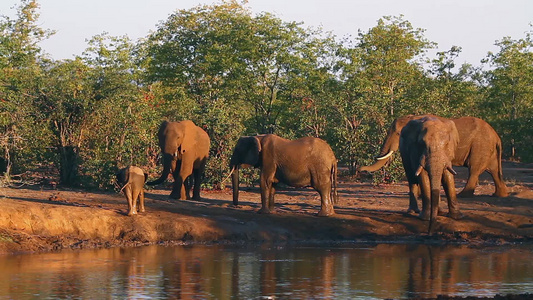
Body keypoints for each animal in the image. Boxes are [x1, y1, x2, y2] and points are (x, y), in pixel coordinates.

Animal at [360, 116, 504, 203]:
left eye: (398, 134)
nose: (360, 169)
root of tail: (496, 136)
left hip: (480, 146)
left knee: (474, 169)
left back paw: (463, 195)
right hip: (487, 148)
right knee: (494, 171)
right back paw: (499, 195)